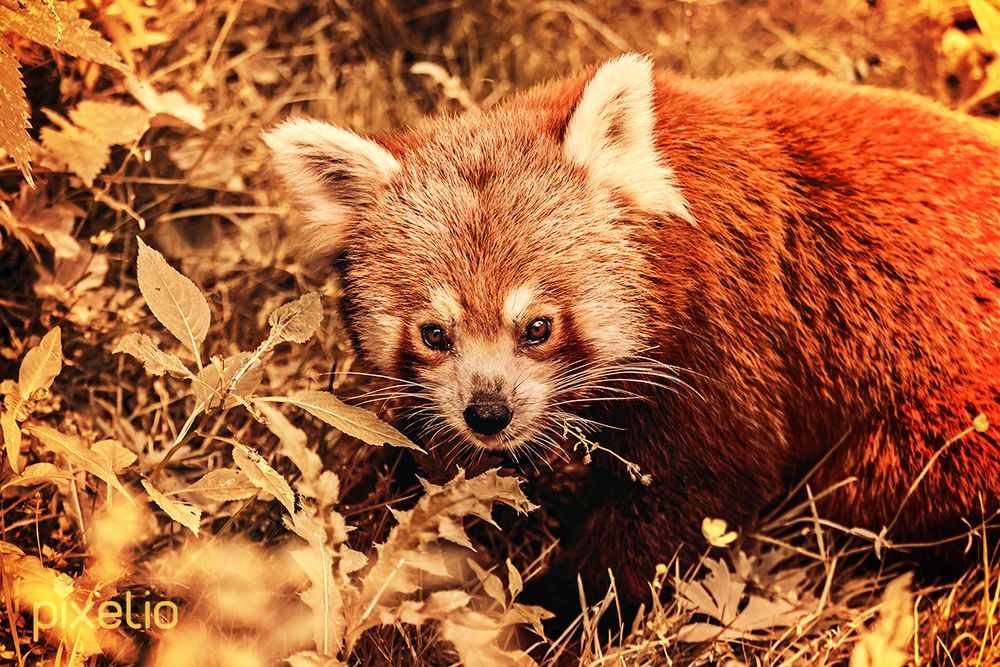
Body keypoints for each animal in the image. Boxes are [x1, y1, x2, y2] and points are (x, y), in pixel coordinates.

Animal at [266, 52, 1000, 604]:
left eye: (537, 327)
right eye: (433, 334)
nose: (489, 413)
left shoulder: (728, 341)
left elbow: (694, 494)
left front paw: (557, 610)